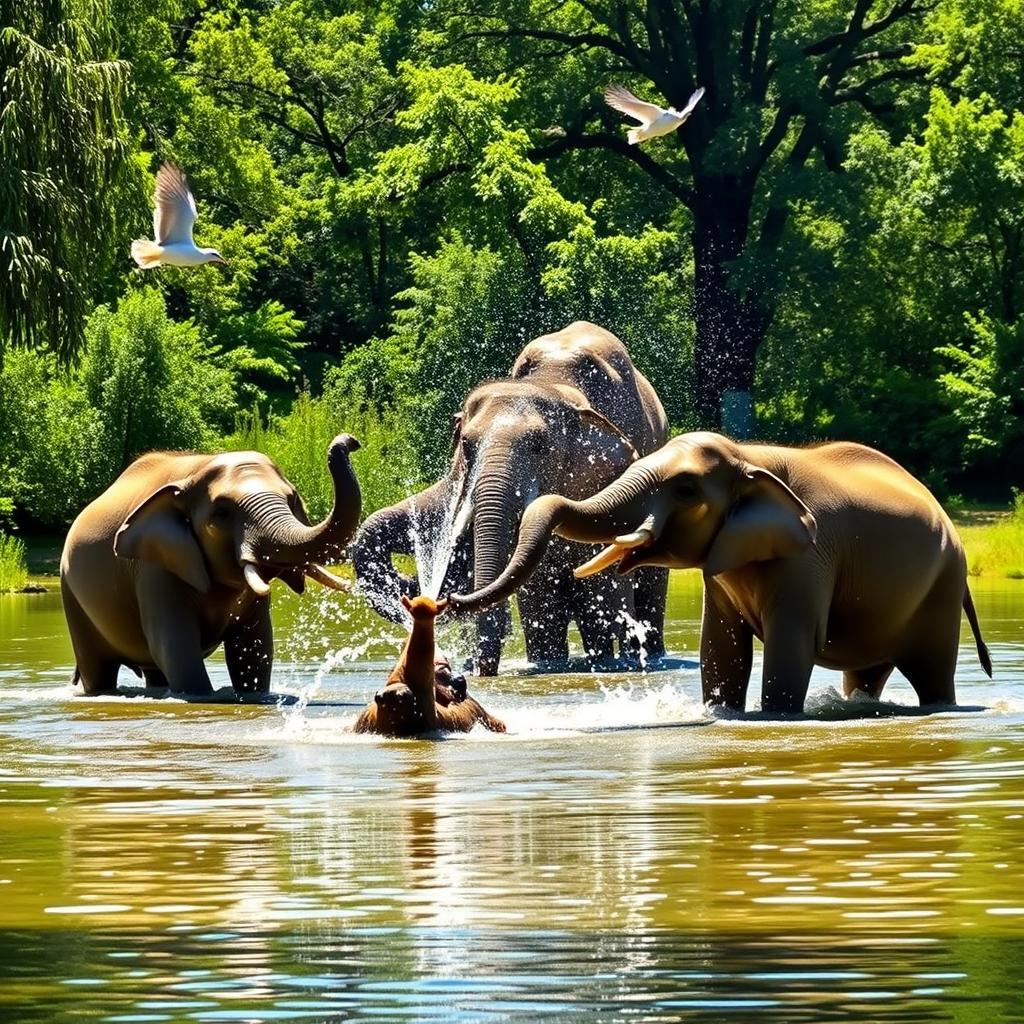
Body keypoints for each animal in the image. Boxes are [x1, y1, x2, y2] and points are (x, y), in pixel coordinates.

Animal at [60, 435, 362, 698]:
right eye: (221, 514)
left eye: (293, 500)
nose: (352, 441)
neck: (195, 470)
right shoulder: (154, 568)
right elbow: (175, 647)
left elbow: (252, 645)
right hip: (72, 595)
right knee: (98, 665)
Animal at [353, 321, 670, 675]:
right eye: (466, 445)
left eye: (539, 447)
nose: (447, 598)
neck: (553, 384)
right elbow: (539, 602)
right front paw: (547, 665)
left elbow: (602, 591)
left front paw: (608, 663)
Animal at [450, 431, 992, 713]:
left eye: (686, 490)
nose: (447, 602)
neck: (749, 457)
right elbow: (722, 648)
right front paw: (720, 714)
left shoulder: (810, 556)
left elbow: (791, 645)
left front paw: (775, 716)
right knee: (866, 673)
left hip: (943, 586)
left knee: (933, 670)